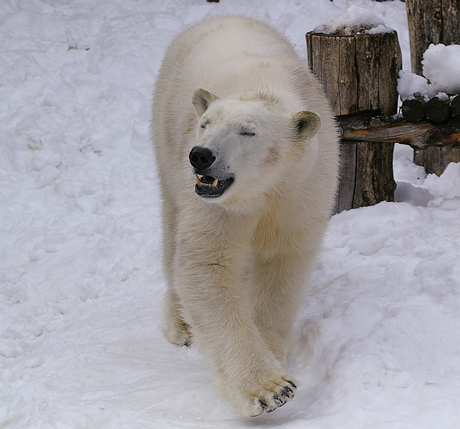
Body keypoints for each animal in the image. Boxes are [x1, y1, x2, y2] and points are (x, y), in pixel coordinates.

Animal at [151, 15, 338, 414]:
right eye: (205, 122)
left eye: (248, 131)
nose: (200, 155)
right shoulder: (217, 206)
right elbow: (206, 263)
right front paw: (270, 389)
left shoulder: (303, 188)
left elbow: (283, 263)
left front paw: (274, 353)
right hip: (165, 136)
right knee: (171, 225)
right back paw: (180, 323)